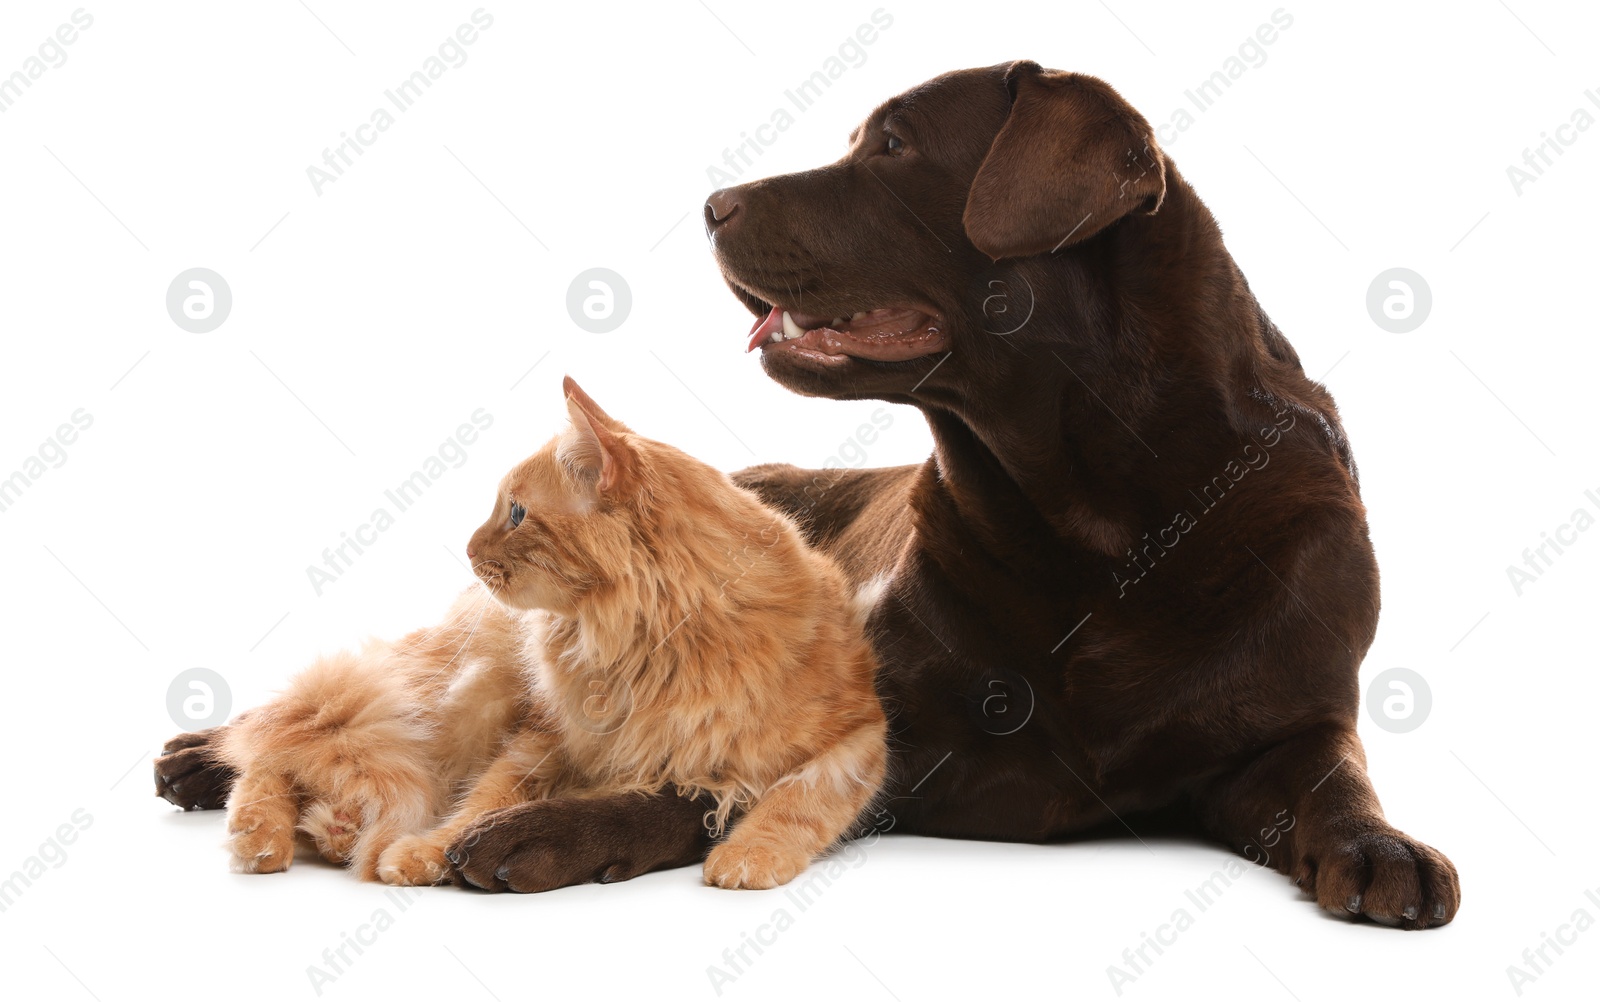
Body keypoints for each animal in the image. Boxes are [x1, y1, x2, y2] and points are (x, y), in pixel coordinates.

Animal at [216, 377, 889, 883]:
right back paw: (261, 836)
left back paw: (330, 830)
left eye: (516, 513)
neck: (651, 646)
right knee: (276, 746)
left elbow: (799, 797)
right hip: (447, 710)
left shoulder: (861, 734)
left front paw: (749, 854)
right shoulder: (541, 736)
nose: (467, 549)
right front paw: (429, 850)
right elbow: (486, 799)